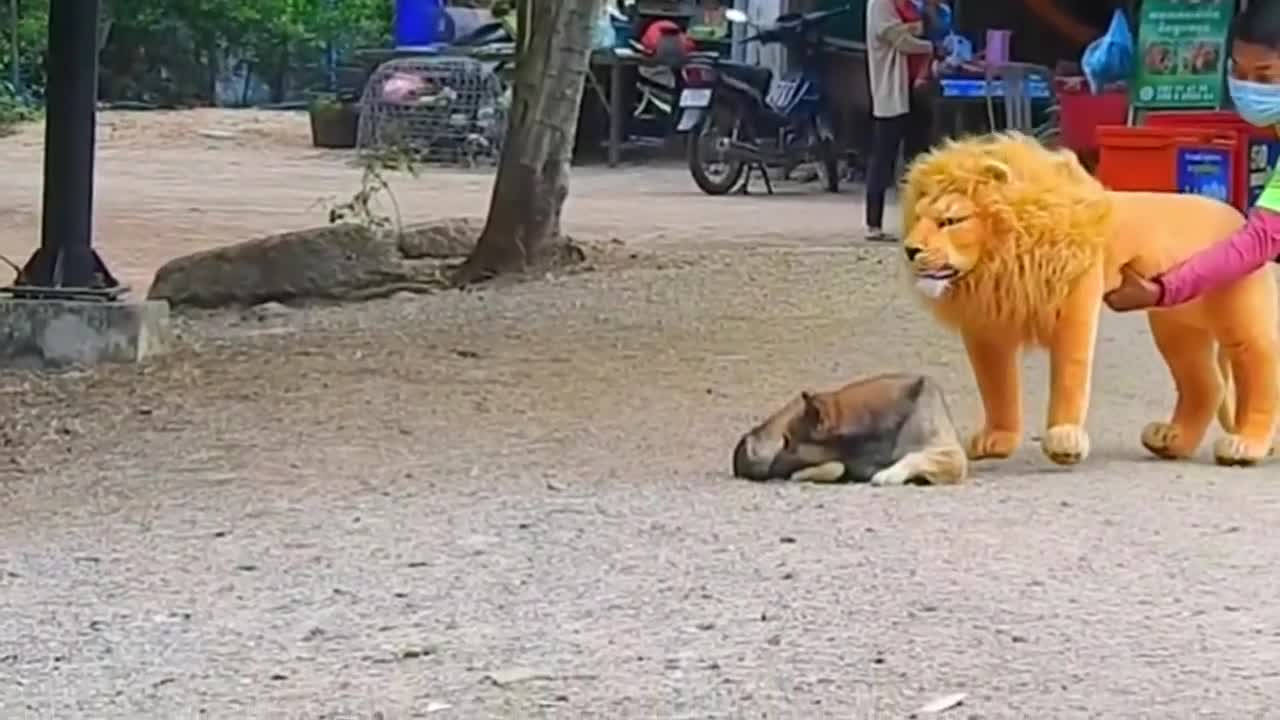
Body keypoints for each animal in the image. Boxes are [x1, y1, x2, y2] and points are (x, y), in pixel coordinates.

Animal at [737, 371, 962, 484]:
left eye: (788, 441)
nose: (769, 472)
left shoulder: (952, 455)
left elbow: (914, 456)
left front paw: (889, 474)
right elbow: (838, 466)